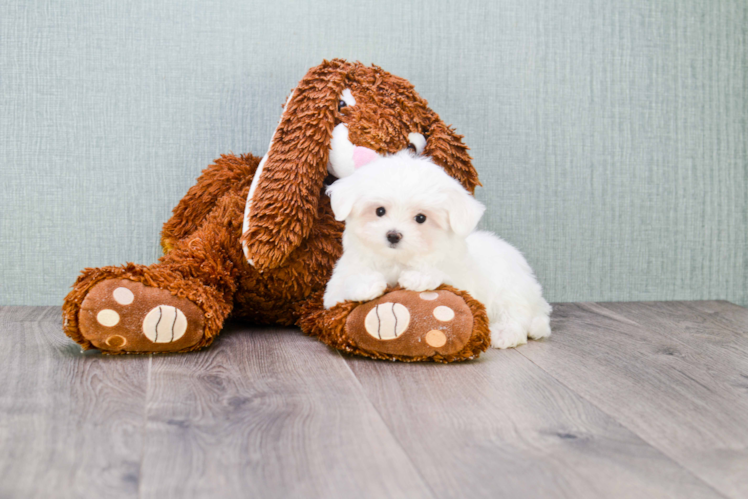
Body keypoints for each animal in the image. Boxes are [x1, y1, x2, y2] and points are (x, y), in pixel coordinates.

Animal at [324, 150, 552, 350]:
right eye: (380, 211)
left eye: (421, 218)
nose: (393, 235)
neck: (398, 260)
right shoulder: (334, 289)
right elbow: (343, 287)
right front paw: (366, 283)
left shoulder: (463, 280)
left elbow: (446, 277)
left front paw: (419, 277)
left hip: (510, 288)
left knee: (515, 314)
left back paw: (505, 333)